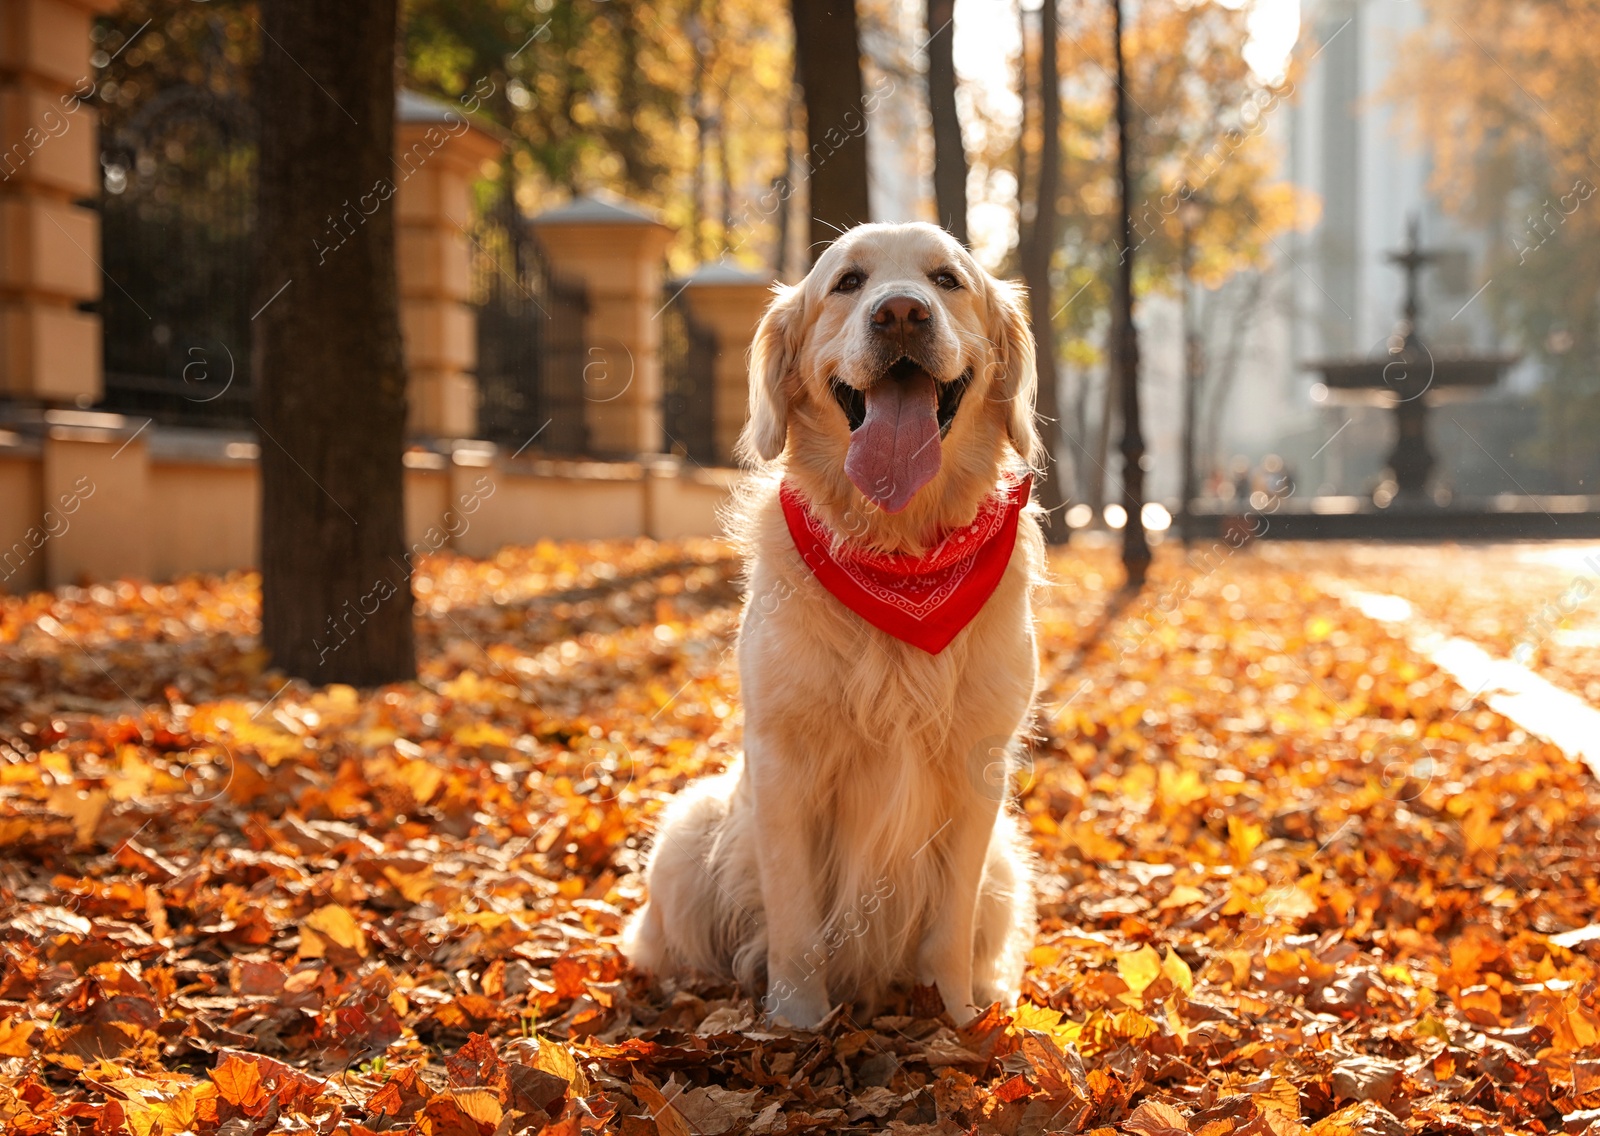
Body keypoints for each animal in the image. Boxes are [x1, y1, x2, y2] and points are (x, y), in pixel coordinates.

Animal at [617, 222, 1043, 1030]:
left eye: (947, 279)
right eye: (847, 282)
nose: (902, 313)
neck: (898, 551)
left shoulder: (979, 767)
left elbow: (948, 924)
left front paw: (956, 1020)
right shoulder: (783, 759)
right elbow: (797, 921)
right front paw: (796, 1023)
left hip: (1008, 861)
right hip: (689, 825)